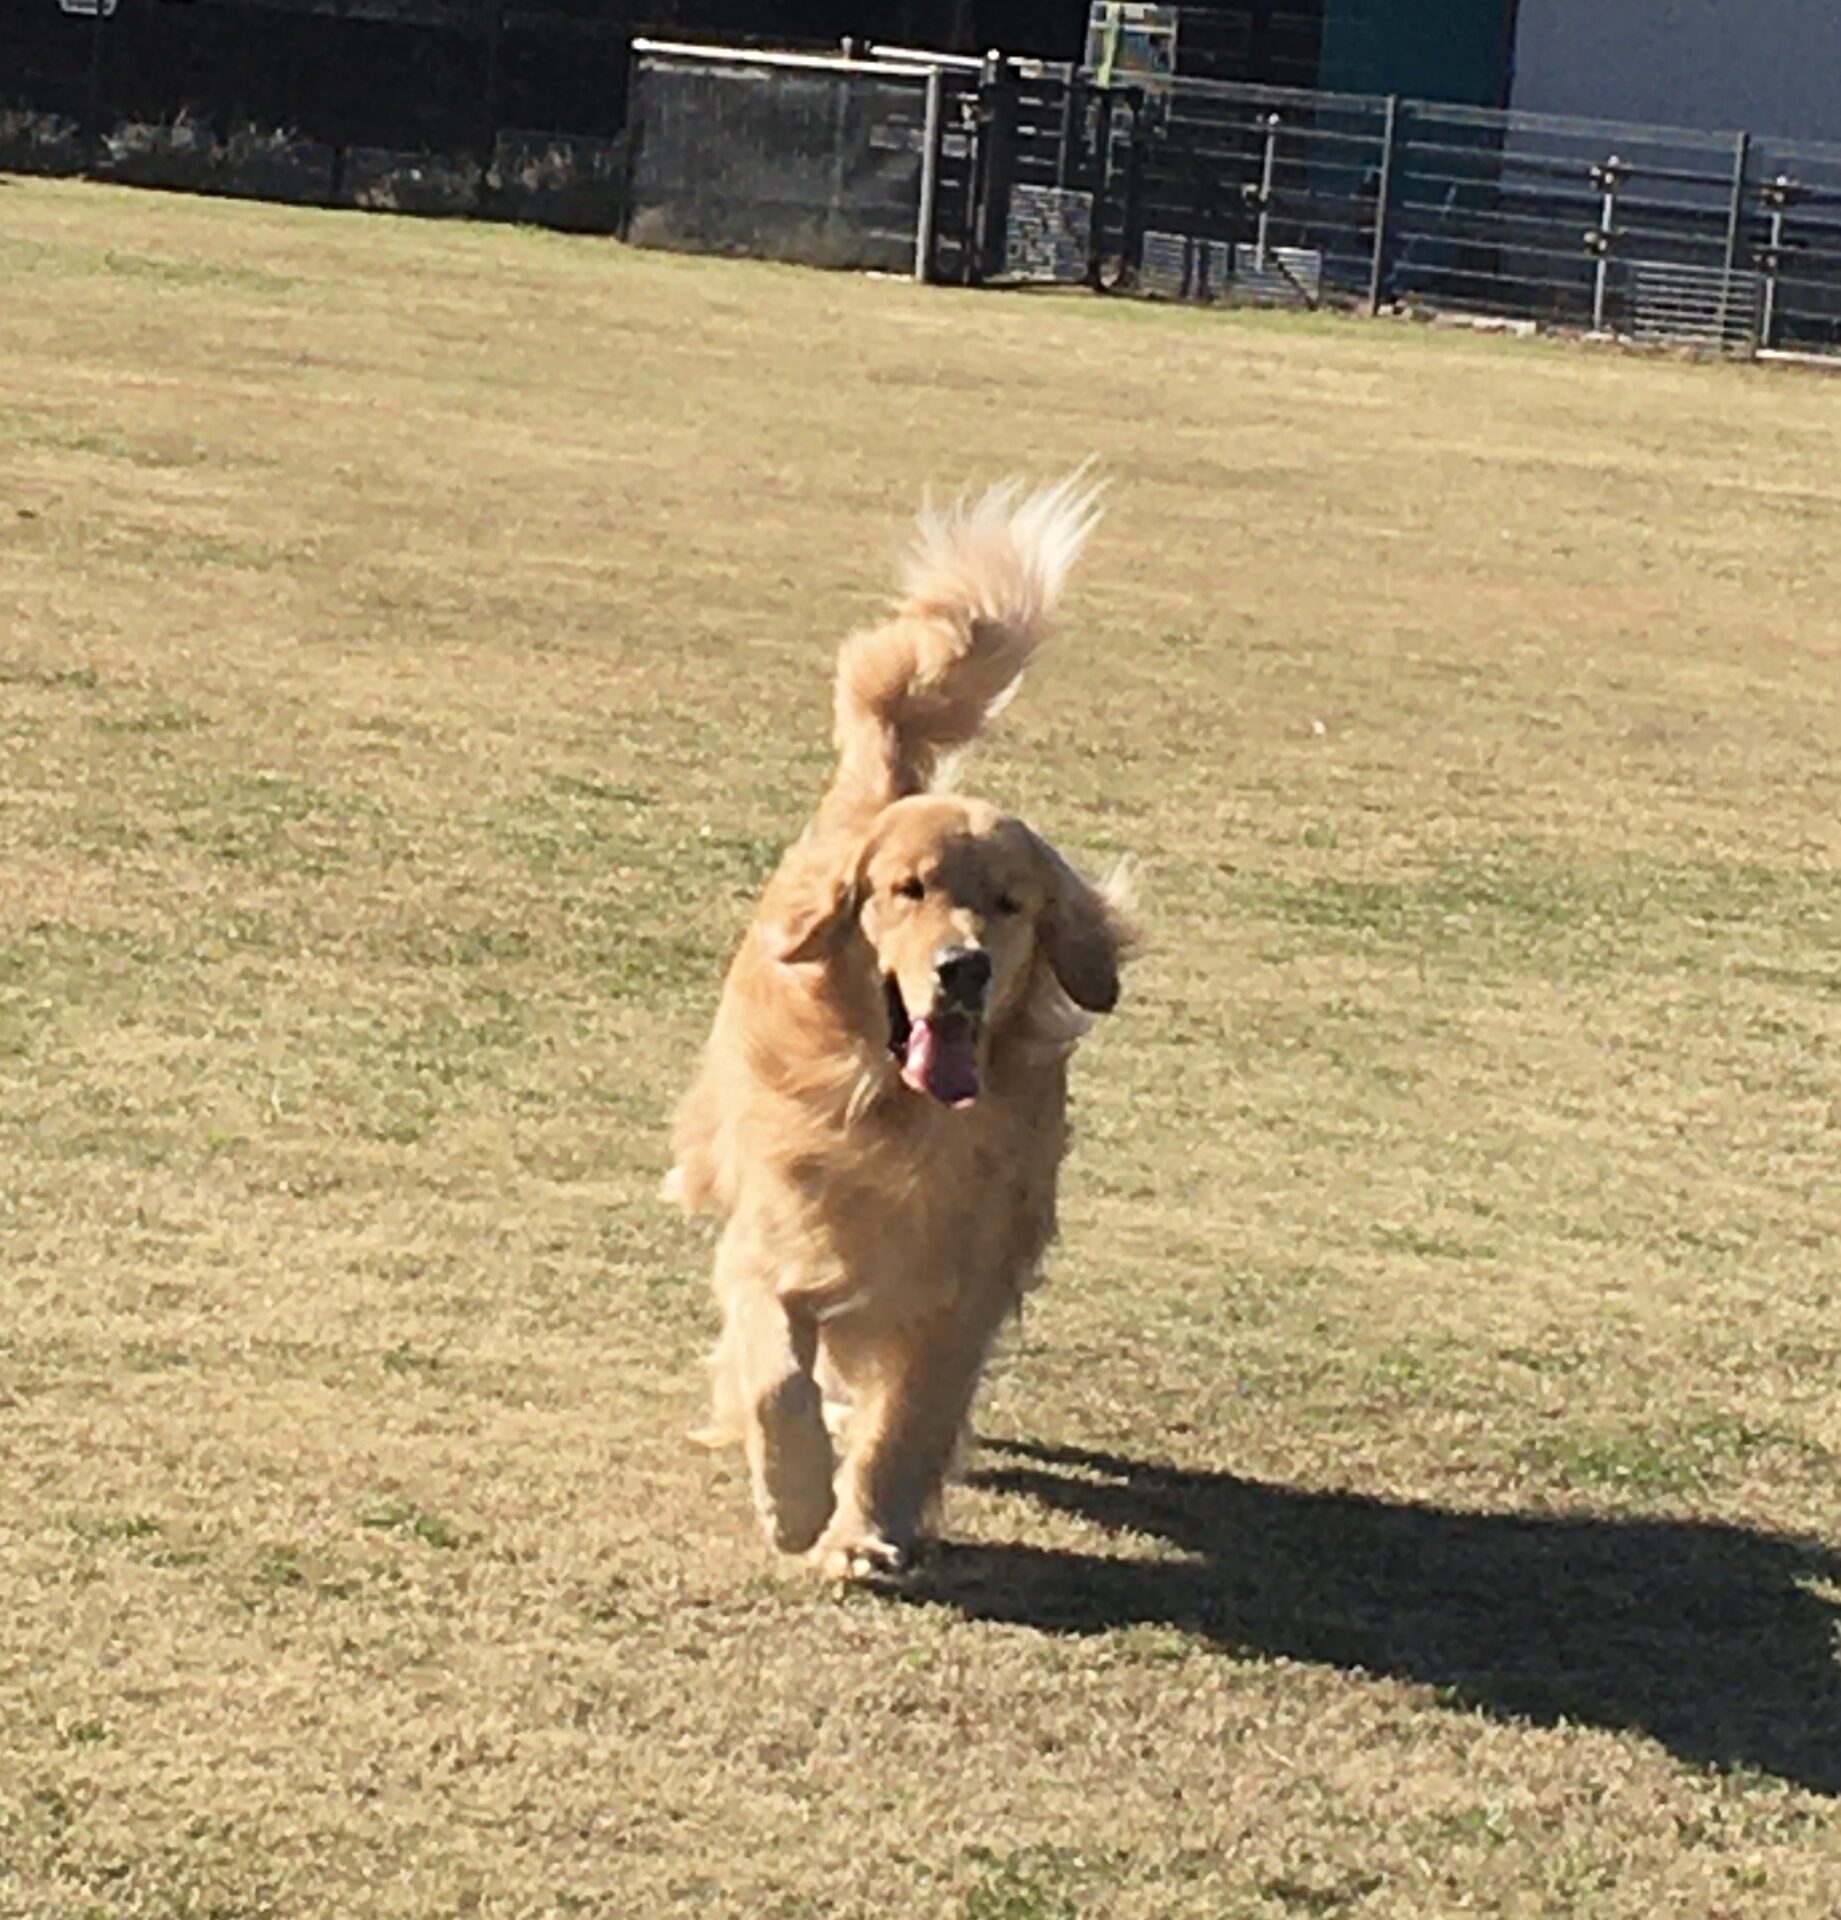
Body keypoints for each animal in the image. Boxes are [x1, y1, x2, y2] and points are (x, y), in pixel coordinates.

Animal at [667, 472, 1130, 1581]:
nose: (961, 969)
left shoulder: (959, 1289)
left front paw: (865, 1529)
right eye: (905, 891)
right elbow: (773, 1377)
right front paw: (796, 1503)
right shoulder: (779, 1237)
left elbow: (907, 1418)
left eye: (1009, 904)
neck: (897, 1119)